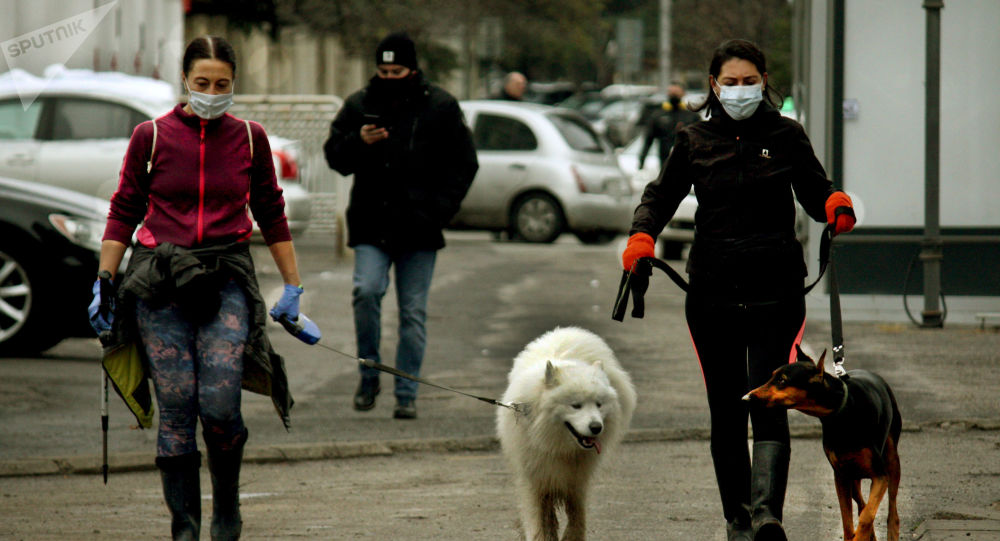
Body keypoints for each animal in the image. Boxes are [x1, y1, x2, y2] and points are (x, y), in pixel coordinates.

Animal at [496, 324, 636, 540]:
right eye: (575, 405)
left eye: (599, 404)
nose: (596, 427)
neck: (556, 445)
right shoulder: (534, 479)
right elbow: (537, 520)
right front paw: (543, 534)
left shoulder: (576, 481)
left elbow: (577, 515)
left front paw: (572, 535)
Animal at [744, 346, 900, 540]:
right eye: (772, 376)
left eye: (782, 380)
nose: (747, 398)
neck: (841, 413)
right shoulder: (840, 476)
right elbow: (848, 521)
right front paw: (857, 535)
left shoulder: (880, 475)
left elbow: (867, 516)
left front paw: (861, 535)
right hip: (852, 475)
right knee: (861, 502)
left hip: (891, 459)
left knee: (891, 509)